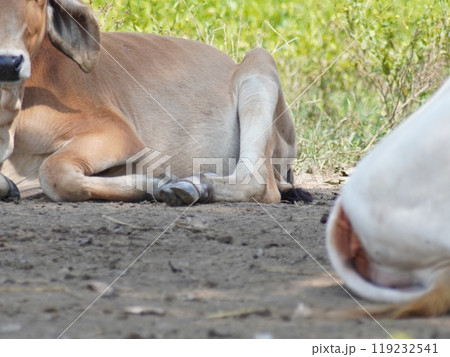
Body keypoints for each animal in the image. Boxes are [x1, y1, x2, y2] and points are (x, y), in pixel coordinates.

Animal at [0, 0, 310, 204]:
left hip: (259, 64)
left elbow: (54, 173)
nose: (8, 62)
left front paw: (156, 183)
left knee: (258, 183)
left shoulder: (117, 134)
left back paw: (194, 186)